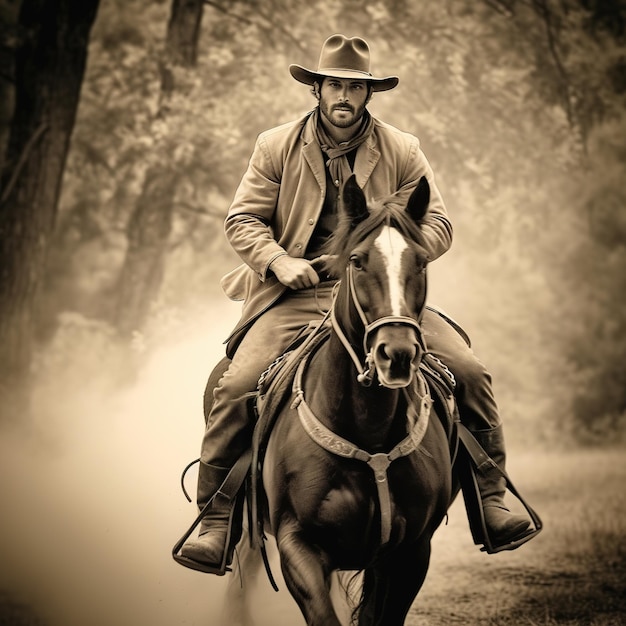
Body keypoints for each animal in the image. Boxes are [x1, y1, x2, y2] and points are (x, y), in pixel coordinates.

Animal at [210, 172, 454, 624]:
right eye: (357, 261)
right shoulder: (298, 544)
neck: (368, 430)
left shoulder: (410, 553)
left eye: (422, 261)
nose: (396, 353)